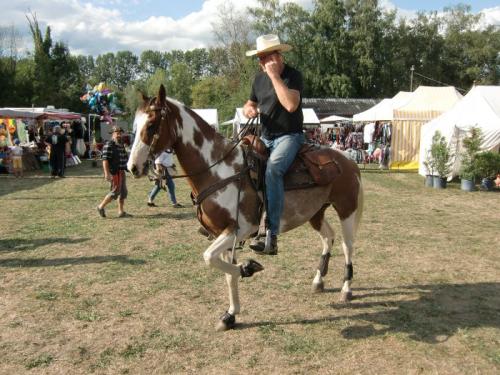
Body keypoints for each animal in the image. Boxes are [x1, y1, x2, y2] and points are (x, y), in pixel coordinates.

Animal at [129, 85, 364, 332]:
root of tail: (347, 159)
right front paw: (230, 315)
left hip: (346, 209)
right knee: (328, 237)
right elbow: (224, 271)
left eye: (152, 125)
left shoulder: (240, 229)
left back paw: (346, 289)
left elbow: (209, 257)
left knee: (348, 246)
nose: (132, 167)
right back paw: (319, 280)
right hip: (316, 213)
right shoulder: (223, 233)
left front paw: (248, 268)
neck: (219, 170)